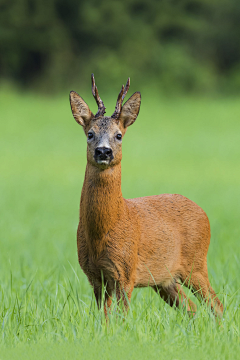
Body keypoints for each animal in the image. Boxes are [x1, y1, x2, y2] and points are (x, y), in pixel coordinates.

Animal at [69, 74, 223, 318]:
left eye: (119, 135)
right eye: (90, 134)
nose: (103, 151)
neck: (103, 230)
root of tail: (203, 212)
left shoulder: (126, 271)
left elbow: (123, 317)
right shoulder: (95, 276)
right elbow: (103, 319)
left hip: (196, 263)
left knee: (216, 305)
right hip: (165, 280)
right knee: (191, 307)